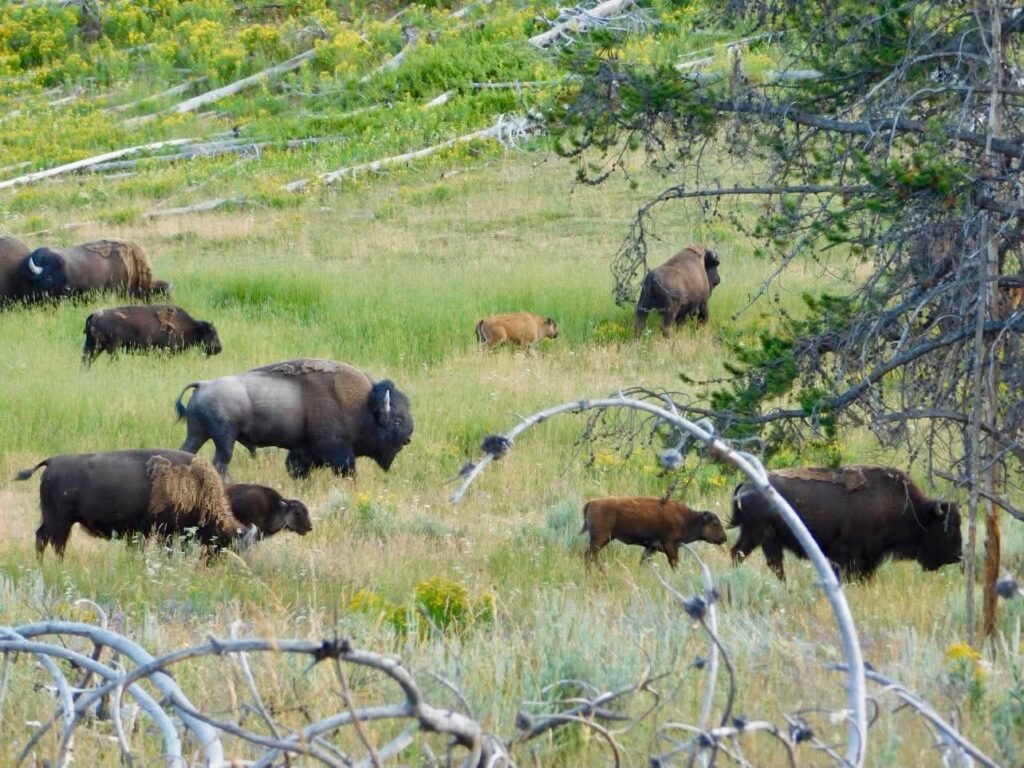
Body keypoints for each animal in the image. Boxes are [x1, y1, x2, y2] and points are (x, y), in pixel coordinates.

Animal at [15, 449, 248, 558]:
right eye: (226, 543)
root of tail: (51, 461)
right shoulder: (164, 531)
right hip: (59, 520)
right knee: (48, 540)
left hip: (59, 521)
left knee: (50, 541)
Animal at [176, 358, 414, 478]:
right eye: (396, 420)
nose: (408, 439)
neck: (363, 405)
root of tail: (203, 385)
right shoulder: (337, 450)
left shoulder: (302, 449)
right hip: (225, 438)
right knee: (221, 462)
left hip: (197, 433)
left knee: (187, 452)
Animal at [581, 496, 728, 568]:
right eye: (715, 523)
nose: (724, 538)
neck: (688, 519)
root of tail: (591, 503)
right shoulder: (670, 546)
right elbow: (674, 563)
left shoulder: (651, 548)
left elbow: (643, 561)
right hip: (600, 538)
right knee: (589, 555)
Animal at [730, 466, 963, 581]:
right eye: (948, 527)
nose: (958, 556)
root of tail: (747, 485)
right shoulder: (850, 555)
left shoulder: (869, 558)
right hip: (760, 535)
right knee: (759, 559)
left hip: (761, 537)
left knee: (753, 557)